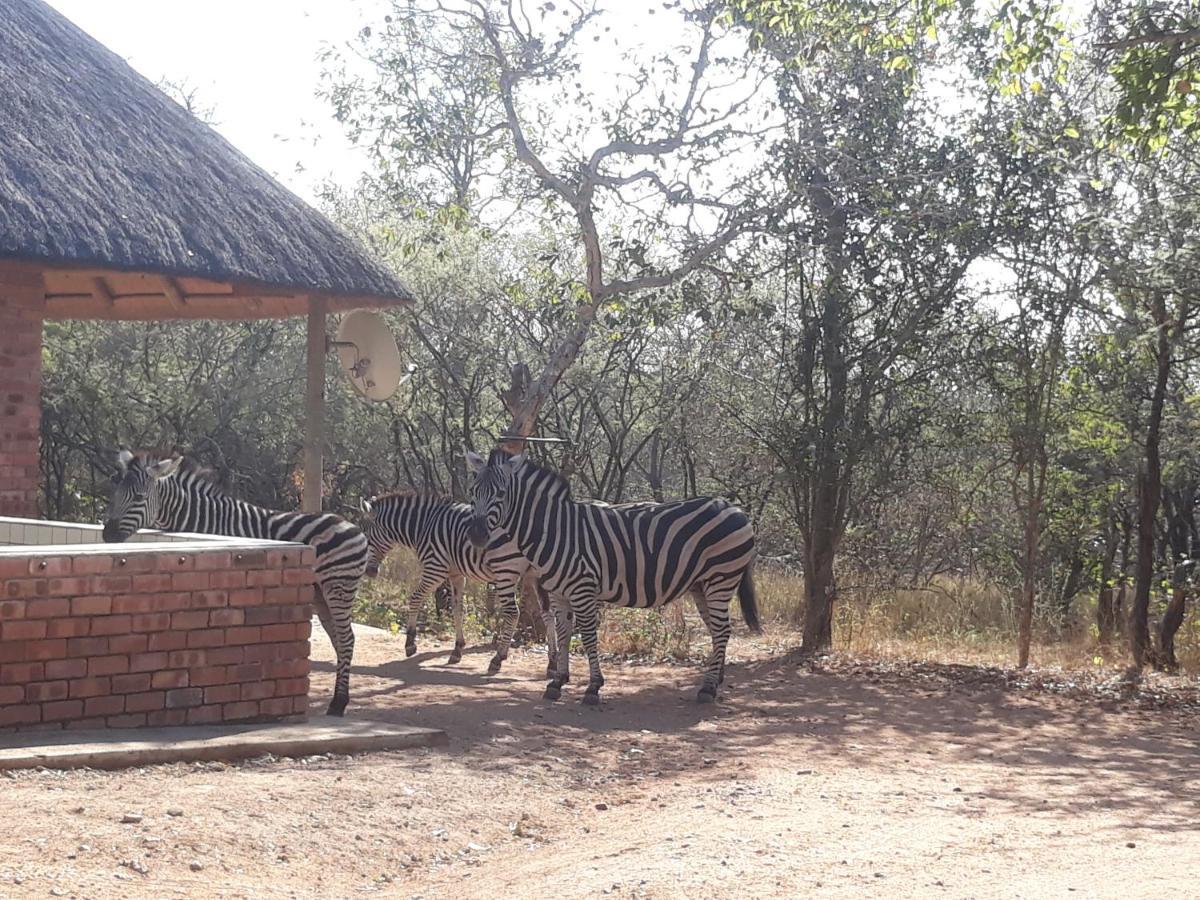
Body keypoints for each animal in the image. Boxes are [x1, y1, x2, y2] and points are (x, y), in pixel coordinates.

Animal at [102, 451, 364, 720]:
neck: (205, 521)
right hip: (320, 594)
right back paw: (339, 699)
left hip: (338, 585)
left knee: (347, 639)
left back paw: (339, 703)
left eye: (139, 497)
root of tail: (352, 526)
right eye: (115, 493)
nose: (107, 536)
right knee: (339, 640)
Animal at [357, 494, 559, 676]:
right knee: (548, 615)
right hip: (538, 575)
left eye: (366, 536)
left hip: (505, 571)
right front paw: (457, 649)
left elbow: (415, 599)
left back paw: (498, 659)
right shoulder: (456, 574)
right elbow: (457, 608)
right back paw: (552, 663)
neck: (423, 525)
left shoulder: (435, 569)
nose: (369, 572)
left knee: (512, 613)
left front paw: (410, 644)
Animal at [463, 448, 753, 705]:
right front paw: (558, 681)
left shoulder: (582, 589)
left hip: (721, 578)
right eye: (473, 491)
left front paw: (593, 687)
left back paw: (707, 688)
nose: (476, 535)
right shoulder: (558, 592)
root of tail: (733, 507)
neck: (556, 530)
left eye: (501, 493)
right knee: (716, 630)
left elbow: (588, 637)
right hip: (701, 585)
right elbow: (564, 633)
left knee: (722, 630)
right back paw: (715, 679)